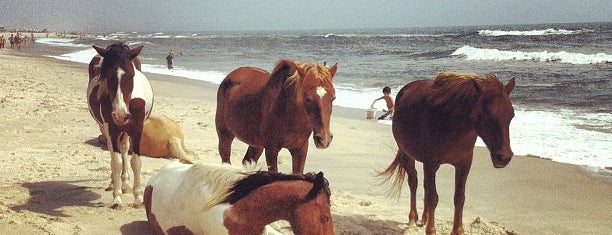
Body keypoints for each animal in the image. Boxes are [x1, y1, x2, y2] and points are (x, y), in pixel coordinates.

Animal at [86, 43, 153, 208]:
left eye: (131, 75)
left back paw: (126, 183)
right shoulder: (111, 128)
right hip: (105, 128)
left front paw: (138, 197)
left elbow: (136, 162)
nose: (120, 114)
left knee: (123, 148)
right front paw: (117, 198)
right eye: (107, 76)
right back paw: (114, 183)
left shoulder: (137, 129)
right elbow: (115, 162)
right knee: (113, 151)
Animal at [382, 72, 516, 235]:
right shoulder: (430, 163)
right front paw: (431, 230)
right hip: (407, 155)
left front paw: (457, 230)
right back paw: (413, 218)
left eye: (511, 115)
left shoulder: (463, 165)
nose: (504, 157)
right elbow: (433, 198)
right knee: (414, 182)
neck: (450, 123)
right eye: (488, 116)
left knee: (425, 186)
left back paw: (425, 218)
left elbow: (459, 198)